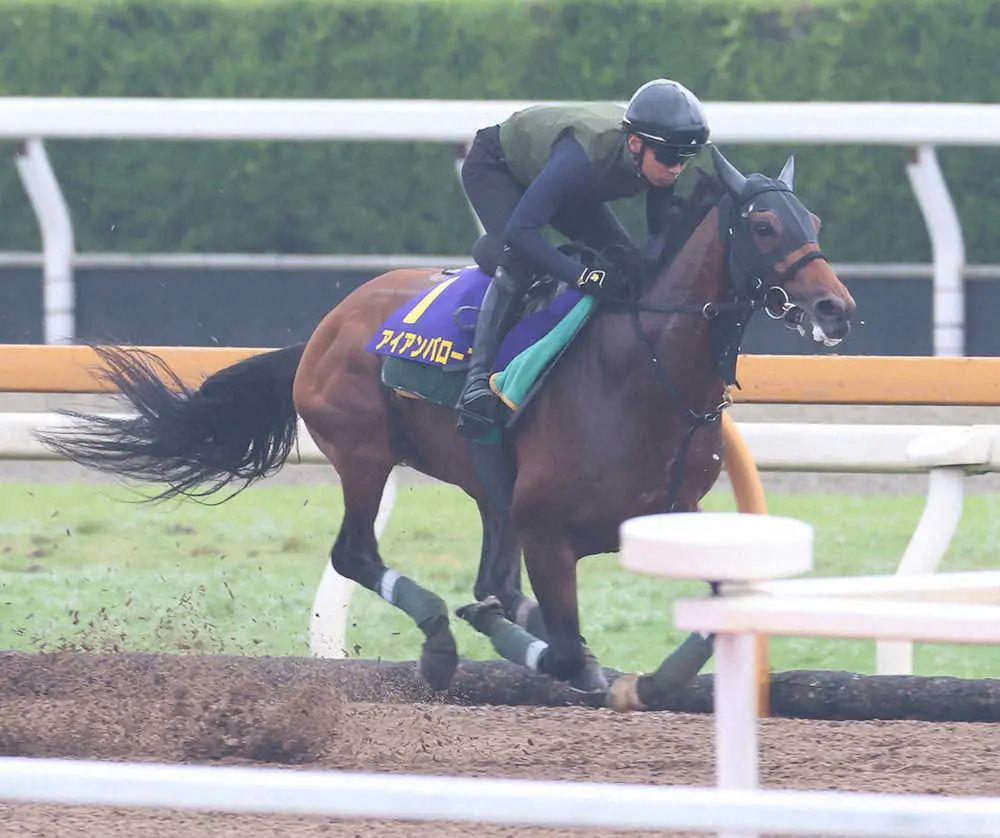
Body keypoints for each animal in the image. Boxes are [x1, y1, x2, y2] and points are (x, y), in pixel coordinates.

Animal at [43, 149, 856, 708]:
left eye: (815, 221)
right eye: (762, 224)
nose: (835, 308)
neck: (643, 370)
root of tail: (323, 329)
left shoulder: (676, 513)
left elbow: (721, 603)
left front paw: (651, 680)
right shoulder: (548, 530)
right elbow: (567, 655)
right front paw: (574, 663)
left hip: (483, 483)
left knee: (477, 574)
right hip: (365, 452)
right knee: (355, 553)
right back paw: (439, 640)